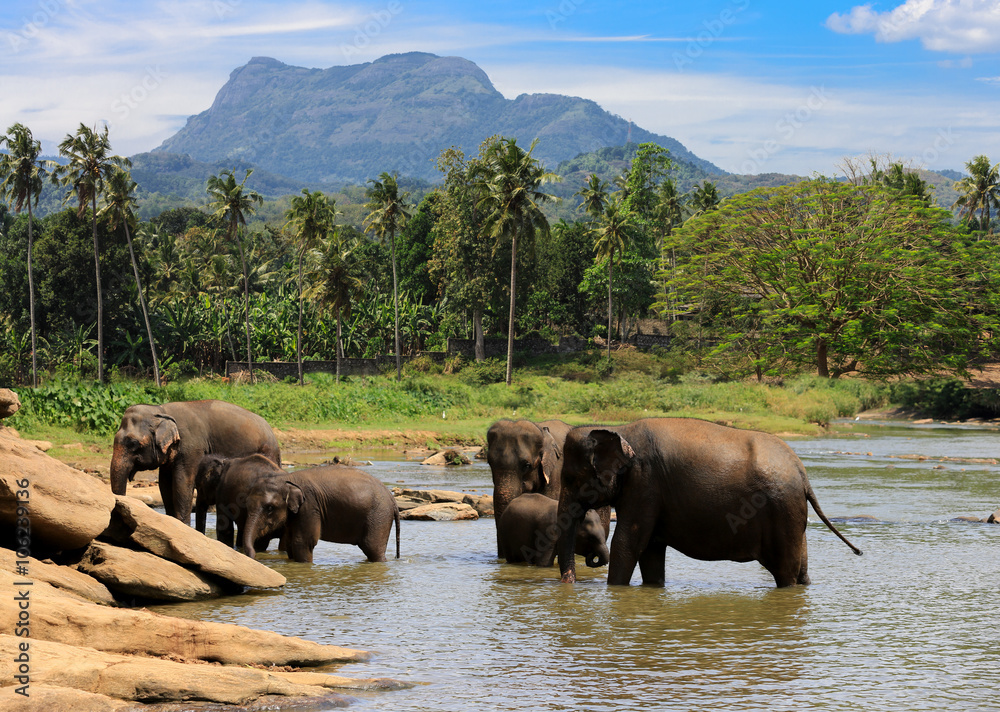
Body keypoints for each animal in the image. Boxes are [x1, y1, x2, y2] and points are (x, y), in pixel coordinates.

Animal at [110, 400, 281, 525]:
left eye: (133, 443)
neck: (161, 410)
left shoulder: (191, 446)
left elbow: (182, 482)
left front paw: (183, 525)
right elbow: (165, 484)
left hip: (268, 452)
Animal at [240, 464, 400, 563]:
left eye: (270, 508)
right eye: (246, 505)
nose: (253, 556)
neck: (286, 479)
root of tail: (391, 497)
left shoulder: (310, 506)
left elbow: (303, 542)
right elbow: (291, 542)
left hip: (379, 516)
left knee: (372, 548)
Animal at [556, 418, 862, 588]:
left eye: (570, 478)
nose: (569, 585)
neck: (619, 429)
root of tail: (802, 472)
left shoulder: (644, 483)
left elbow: (628, 542)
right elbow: (651, 549)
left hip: (782, 509)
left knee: (786, 572)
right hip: (793, 513)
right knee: (802, 569)